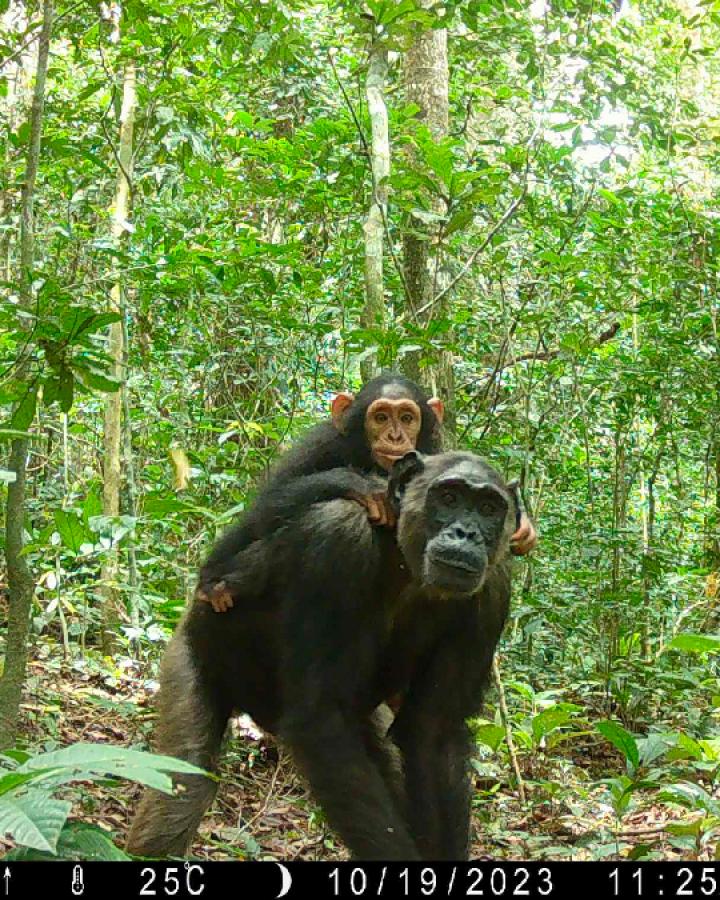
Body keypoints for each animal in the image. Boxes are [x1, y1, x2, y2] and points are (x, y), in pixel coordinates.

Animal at [128, 450, 516, 856]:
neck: (405, 562)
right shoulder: (337, 542)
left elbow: (434, 734)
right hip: (188, 654)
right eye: (449, 497)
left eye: (489, 508)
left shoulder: (493, 592)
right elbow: (320, 720)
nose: (466, 533)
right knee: (183, 782)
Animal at [197, 370, 536, 612]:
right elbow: (264, 508)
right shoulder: (321, 442)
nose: (395, 435)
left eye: (407, 418)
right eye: (381, 417)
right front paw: (365, 486)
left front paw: (524, 529)